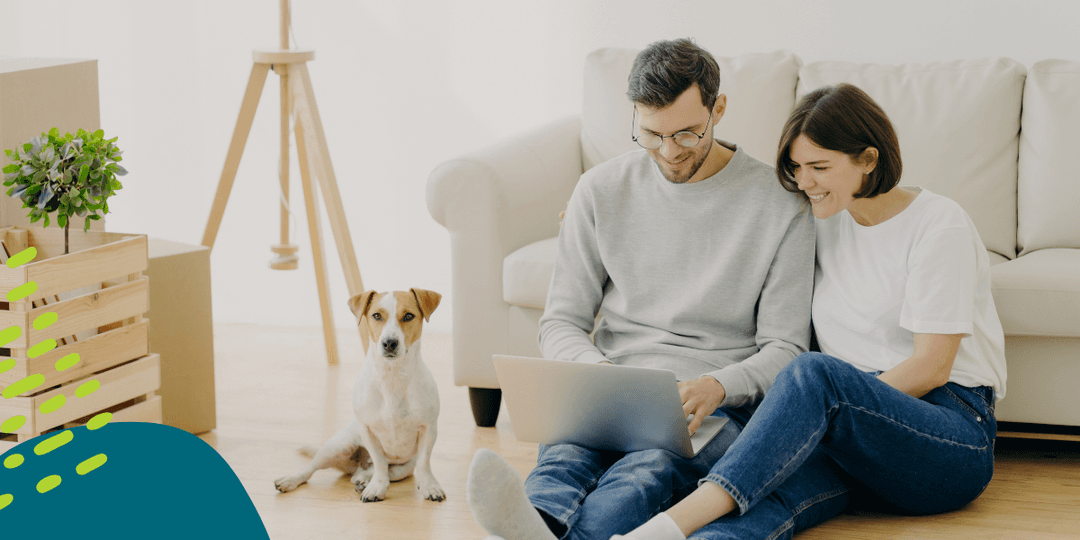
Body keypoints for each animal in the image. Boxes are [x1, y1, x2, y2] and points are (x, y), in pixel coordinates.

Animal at [278, 287, 447, 501]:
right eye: (376, 316)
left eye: (408, 316)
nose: (389, 343)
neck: (392, 378)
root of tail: (354, 465)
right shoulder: (367, 430)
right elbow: (380, 463)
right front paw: (376, 487)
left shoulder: (428, 429)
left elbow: (423, 464)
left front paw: (429, 487)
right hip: (337, 447)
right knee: (310, 469)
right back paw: (292, 480)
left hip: (403, 468)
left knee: (371, 473)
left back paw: (362, 480)